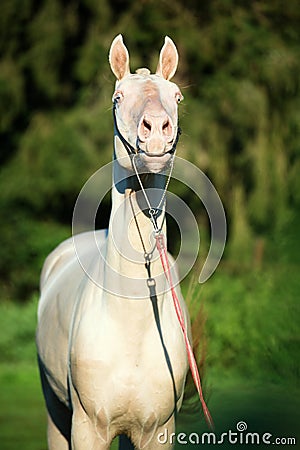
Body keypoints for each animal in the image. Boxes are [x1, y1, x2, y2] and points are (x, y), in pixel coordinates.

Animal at [36, 36, 193, 450]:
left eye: (177, 96)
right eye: (118, 98)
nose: (156, 131)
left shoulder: (157, 430)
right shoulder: (88, 428)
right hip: (55, 411)